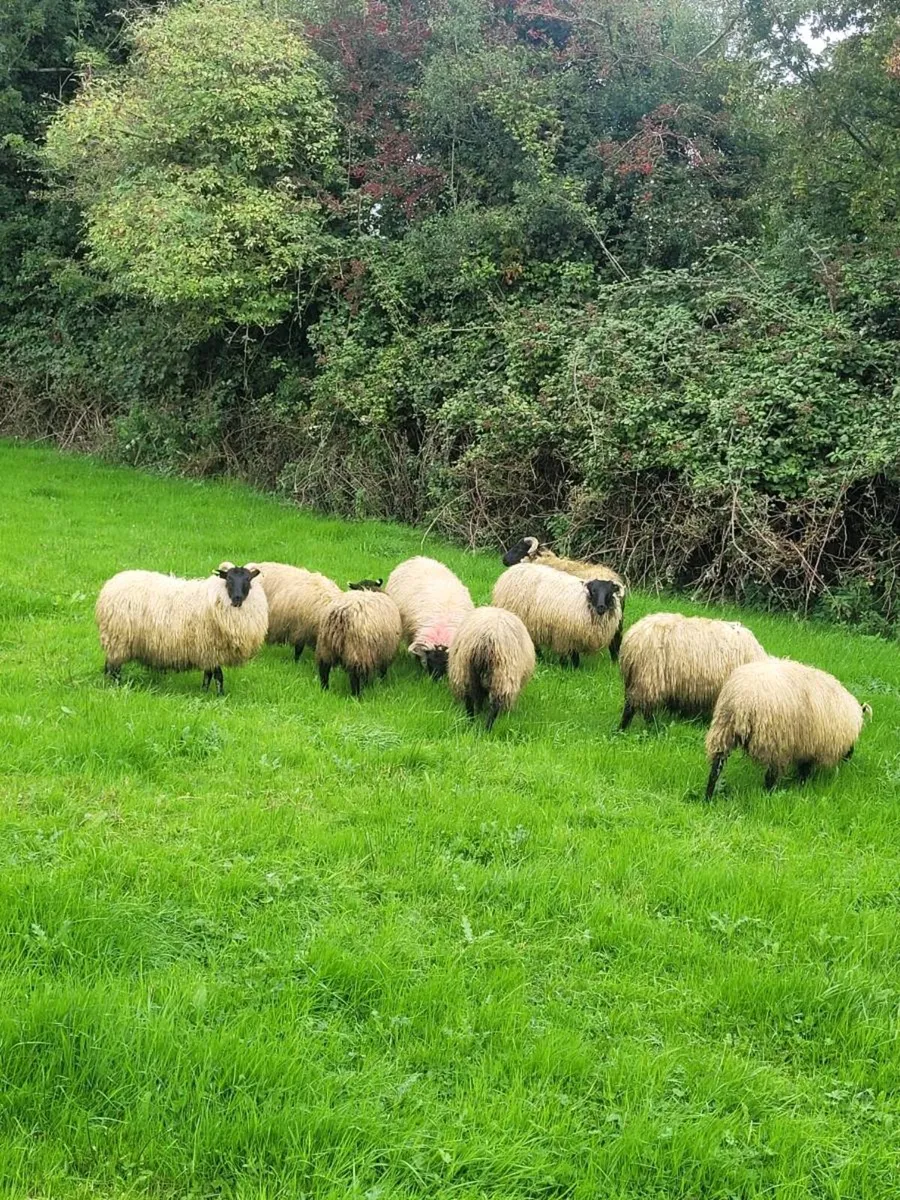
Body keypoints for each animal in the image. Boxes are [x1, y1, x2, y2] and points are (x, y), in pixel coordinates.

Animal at [96, 561, 268, 694]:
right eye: (229, 579)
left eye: (248, 579)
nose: (237, 598)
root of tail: (112, 583)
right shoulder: (211, 649)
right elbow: (218, 676)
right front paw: (220, 695)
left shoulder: (208, 651)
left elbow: (209, 675)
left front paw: (204, 692)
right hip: (118, 639)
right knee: (114, 667)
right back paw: (117, 685)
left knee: (109, 665)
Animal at [491, 562, 622, 667]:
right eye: (593, 591)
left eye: (609, 593)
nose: (601, 607)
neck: (585, 602)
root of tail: (513, 568)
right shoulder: (563, 635)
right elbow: (567, 654)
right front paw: (565, 666)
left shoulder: (574, 637)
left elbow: (575, 655)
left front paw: (575, 668)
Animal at [618, 612, 768, 730]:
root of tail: (632, 640)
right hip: (649, 677)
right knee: (640, 707)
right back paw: (648, 727)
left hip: (634, 679)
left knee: (630, 703)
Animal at [705, 657, 872, 798]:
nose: (849, 758)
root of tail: (742, 700)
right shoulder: (812, 746)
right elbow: (805, 770)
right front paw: (802, 785)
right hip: (774, 740)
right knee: (770, 775)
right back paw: (770, 795)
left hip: (723, 729)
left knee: (716, 768)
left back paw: (708, 797)